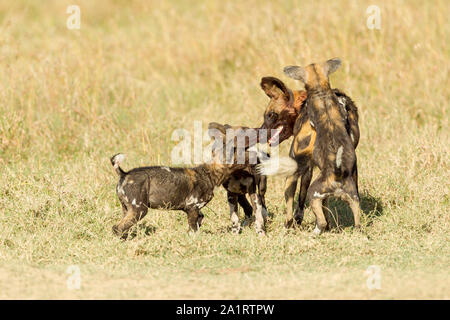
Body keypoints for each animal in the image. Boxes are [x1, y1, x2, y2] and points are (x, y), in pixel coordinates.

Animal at [110, 124, 264, 239]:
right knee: (117, 228)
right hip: (139, 210)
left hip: (128, 210)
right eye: (245, 152)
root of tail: (124, 173)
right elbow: (193, 230)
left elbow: (198, 221)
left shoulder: (193, 210)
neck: (209, 174)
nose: (258, 158)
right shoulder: (192, 208)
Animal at [258, 58, 360, 235]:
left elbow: (290, 206)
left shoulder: (296, 167)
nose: (259, 132)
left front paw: (289, 226)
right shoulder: (310, 167)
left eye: (270, 115)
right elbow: (306, 200)